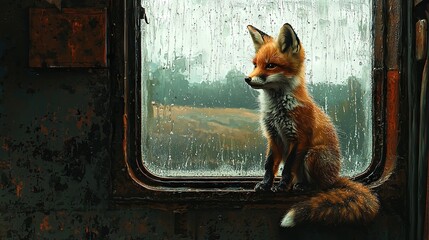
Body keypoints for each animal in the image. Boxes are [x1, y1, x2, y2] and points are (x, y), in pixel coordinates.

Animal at [244, 23, 378, 227]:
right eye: (255, 65)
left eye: (270, 65)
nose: (247, 79)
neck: (278, 110)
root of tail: (335, 177)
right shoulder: (273, 136)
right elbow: (269, 165)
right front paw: (266, 185)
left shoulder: (298, 137)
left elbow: (288, 168)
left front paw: (281, 187)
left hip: (312, 154)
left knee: (321, 187)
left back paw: (304, 186)